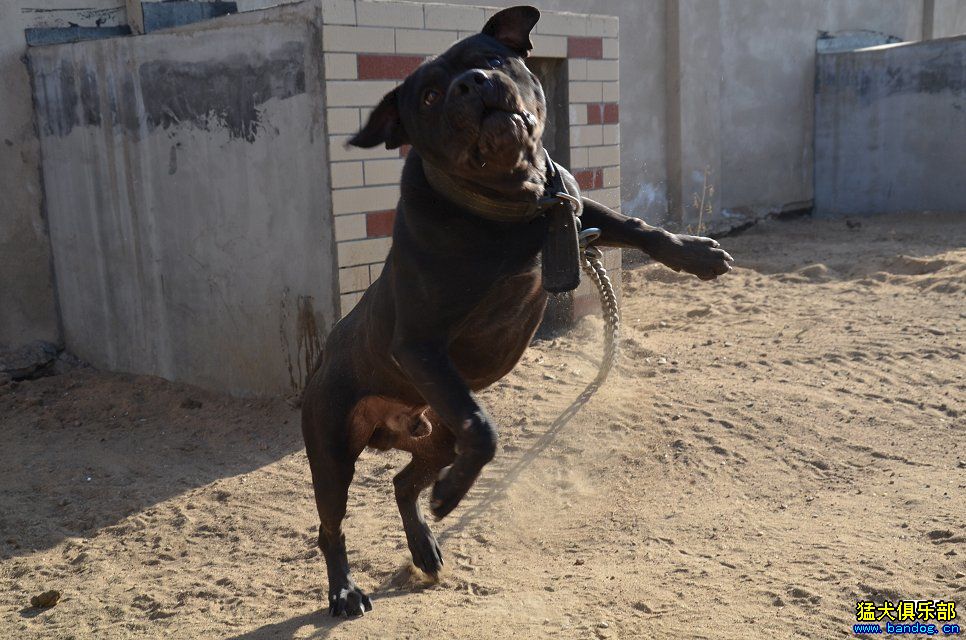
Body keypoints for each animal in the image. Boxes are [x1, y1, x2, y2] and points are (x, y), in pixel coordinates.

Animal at [304, 3, 732, 616]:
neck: (510, 207)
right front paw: (454, 493)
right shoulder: (420, 346)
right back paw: (345, 590)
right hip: (335, 450)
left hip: (435, 434)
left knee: (402, 484)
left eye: (490, 57)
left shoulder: (571, 206)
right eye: (428, 96)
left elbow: (636, 225)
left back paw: (424, 547)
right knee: (332, 526)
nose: (472, 82)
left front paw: (695, 253)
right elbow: (485, 429)